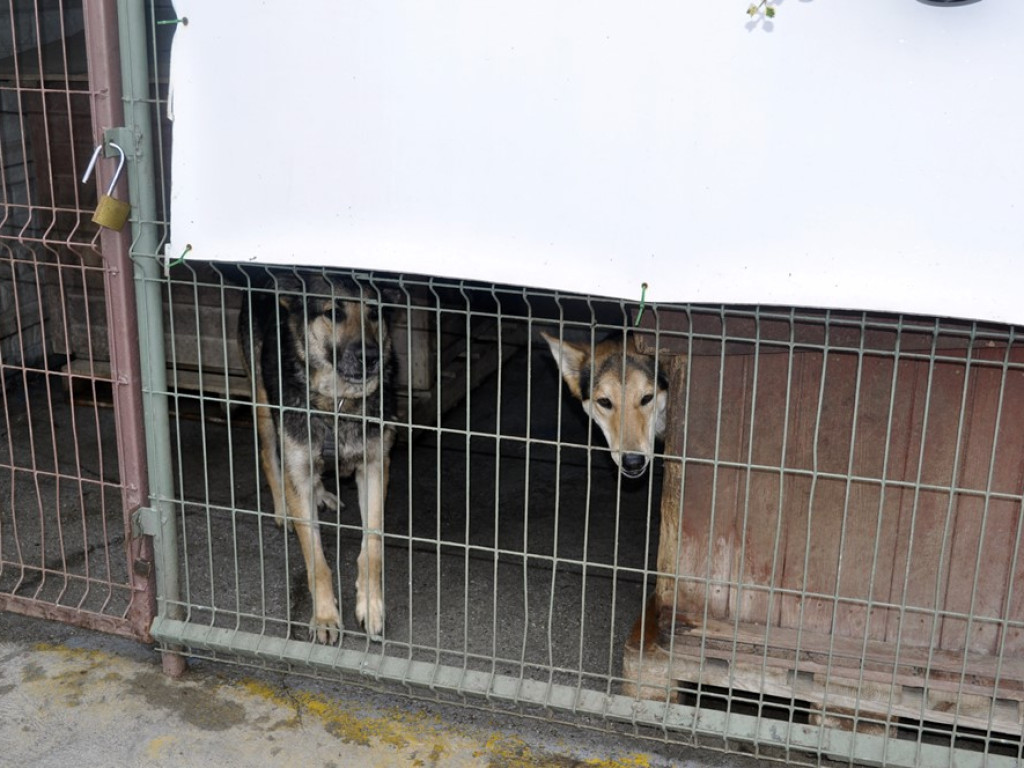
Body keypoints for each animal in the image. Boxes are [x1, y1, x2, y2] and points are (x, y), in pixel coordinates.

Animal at [238, 270, 395, 643]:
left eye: (374, 312)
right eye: (332, 313)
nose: (371, 357)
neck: (337, 403)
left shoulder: (375, 468)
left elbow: (372, 546)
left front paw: (370, 605)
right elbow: (317, 561)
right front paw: (325, 617)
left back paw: (321, 493)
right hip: (264, 405)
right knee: (271, 456)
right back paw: (283, 508)